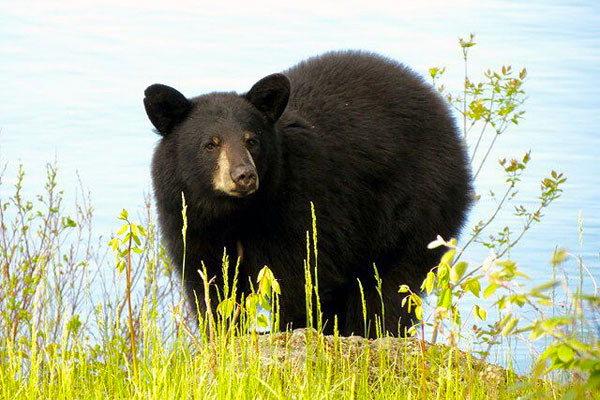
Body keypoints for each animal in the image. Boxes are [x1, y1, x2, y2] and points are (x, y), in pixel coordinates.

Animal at [144, 50, 474, 338]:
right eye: (211, 144)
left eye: (252, 140)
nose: (244, 175)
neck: (234, 214)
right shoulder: (190, 222)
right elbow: (209, 285)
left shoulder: (298, 209)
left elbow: (298, 281)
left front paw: (290, 332)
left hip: (417, 207)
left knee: (388, 290)